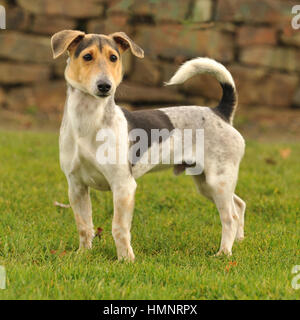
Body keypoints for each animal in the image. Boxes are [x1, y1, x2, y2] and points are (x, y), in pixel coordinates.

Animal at [50, 28, 245, 262]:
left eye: (113, 58)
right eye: (87, 57)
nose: (105, 86)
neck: (88, 121)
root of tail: (220, 113)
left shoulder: (123, 186)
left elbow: (119, 228)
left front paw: (126, 260)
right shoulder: (76, 186)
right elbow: (84, 226)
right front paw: (83, 254)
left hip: (218, 181)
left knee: (230, 217)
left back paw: (224, 252)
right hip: (206, 183)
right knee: (239, 205)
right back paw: (239, 241)